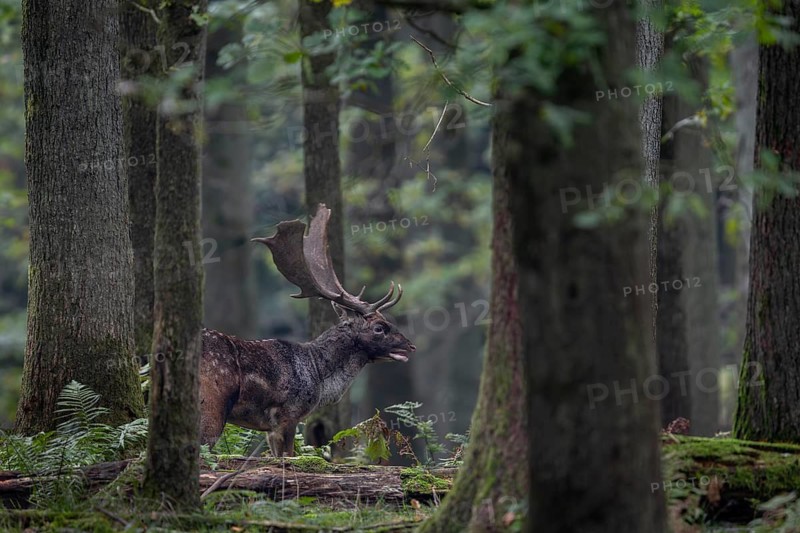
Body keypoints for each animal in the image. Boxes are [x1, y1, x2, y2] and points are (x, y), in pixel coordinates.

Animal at [199, 204, 416, 456]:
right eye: (380, 327)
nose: (410, 345)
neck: (317, 374)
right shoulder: (288, 414)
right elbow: (289, 455)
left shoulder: (269, 428)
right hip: (213, 404)